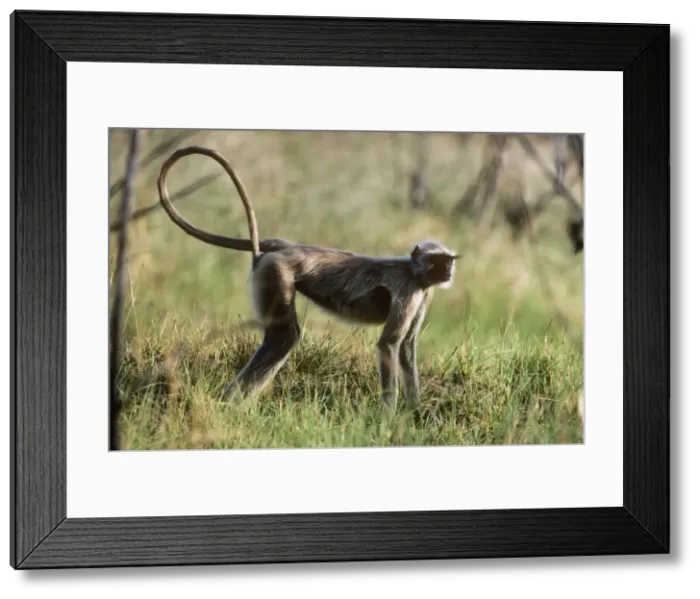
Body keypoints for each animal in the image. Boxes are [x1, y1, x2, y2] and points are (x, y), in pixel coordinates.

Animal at [157, 145, 460, 415]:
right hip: (276, 272)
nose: (448, 272)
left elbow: (407, 346)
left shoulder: (424, 292)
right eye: (440, 261)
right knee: (284, 337)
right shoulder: (408, 289)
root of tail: (286, 246)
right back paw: (231, 404)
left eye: (449, 261)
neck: (414, 271)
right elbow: (389, 345)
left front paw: (414, 411)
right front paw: (388, 417)